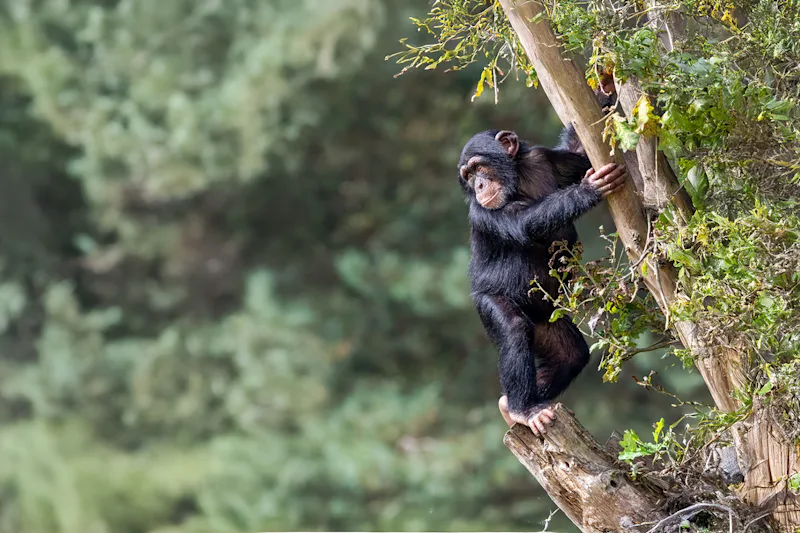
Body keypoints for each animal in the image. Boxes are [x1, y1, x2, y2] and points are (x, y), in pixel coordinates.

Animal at [458, 129, 625, 435]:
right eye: (467, 175)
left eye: (478, 167)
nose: (478, 185)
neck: (518, 178)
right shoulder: (484, 213)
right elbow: (524, 222)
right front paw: (588, 190)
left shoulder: (547, 158)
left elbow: (578, 153)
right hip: (486, 302)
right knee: (514, 329)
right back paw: (523, 410)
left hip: (547, 320)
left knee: (571, 354)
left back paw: (514, 405)